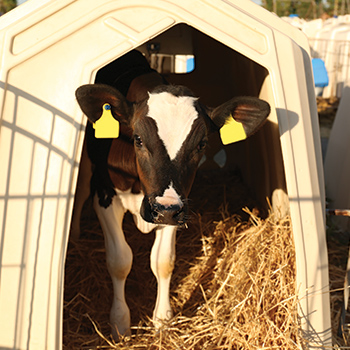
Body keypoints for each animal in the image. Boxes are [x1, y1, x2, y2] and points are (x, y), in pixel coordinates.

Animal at [75, 50, 270, 340]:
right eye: (138, 139)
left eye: (201, 144)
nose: (164, 208)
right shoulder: (106, 195)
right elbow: (120, 260)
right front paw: (120, 323)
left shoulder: (175, 207)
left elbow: (163, 261)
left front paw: (162, 318)